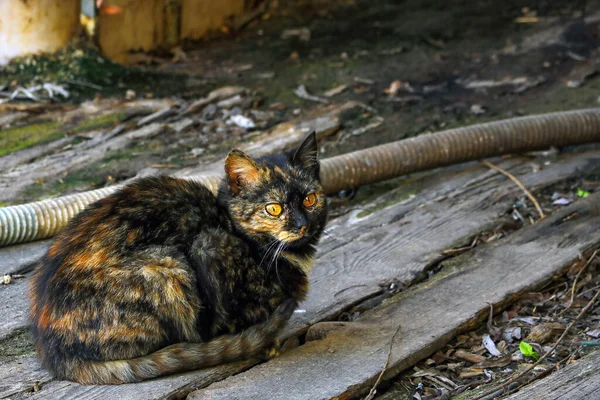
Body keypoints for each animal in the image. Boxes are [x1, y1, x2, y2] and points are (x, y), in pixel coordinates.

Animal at [28, 131, 328, 384]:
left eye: (310, 199)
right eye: (273, 208)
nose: (302, 225)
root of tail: (52, 351)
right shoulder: (210, 246)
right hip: (167, 266)